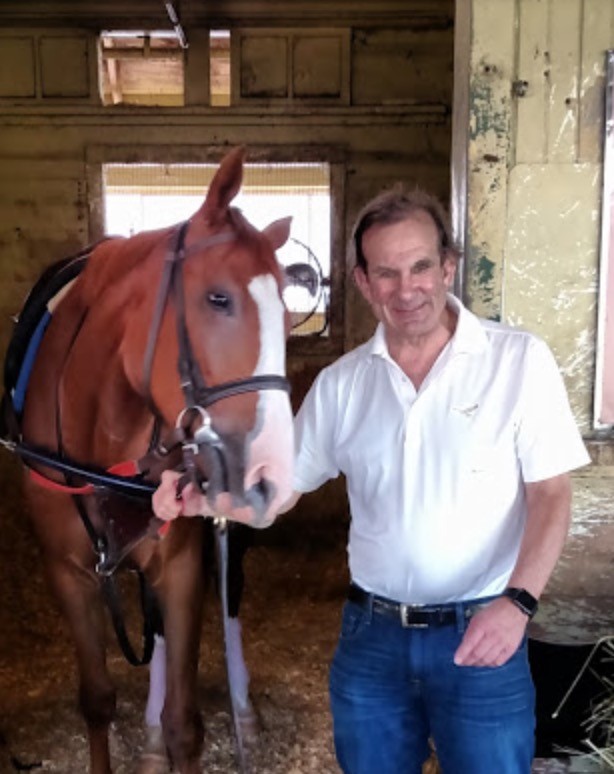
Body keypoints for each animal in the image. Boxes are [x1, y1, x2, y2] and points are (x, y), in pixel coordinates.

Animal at [5, 147, 295, 774]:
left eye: (288, 319)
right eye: (218, 297)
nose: (271, 475)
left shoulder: (181, 567)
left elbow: (187, 723)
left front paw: (183, 731)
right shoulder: (68, 574)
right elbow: (97, 700)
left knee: (229, 604)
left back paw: (242, 714)